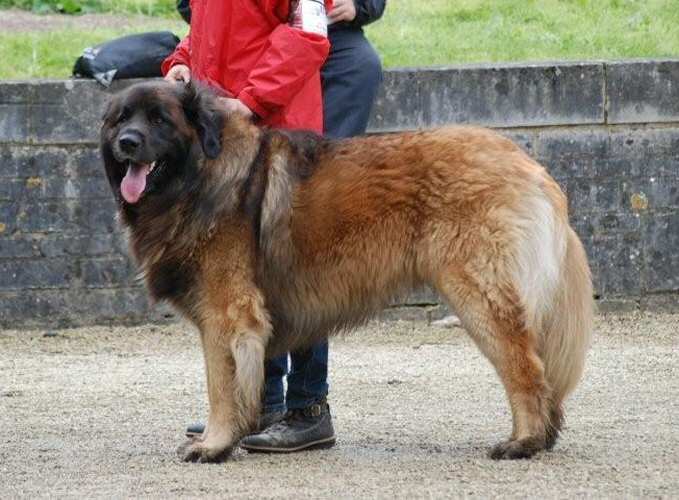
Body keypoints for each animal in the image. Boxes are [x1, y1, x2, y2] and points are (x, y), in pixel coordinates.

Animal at [101, 81, 593, 463]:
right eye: (121, 119)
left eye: (160, 120)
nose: (127, 142)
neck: (202, 174)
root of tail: (529, 164)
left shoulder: (227, 315)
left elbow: (221, 386)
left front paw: (214, 445)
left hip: (477, 295)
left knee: (525, 367)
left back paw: (523, 442)